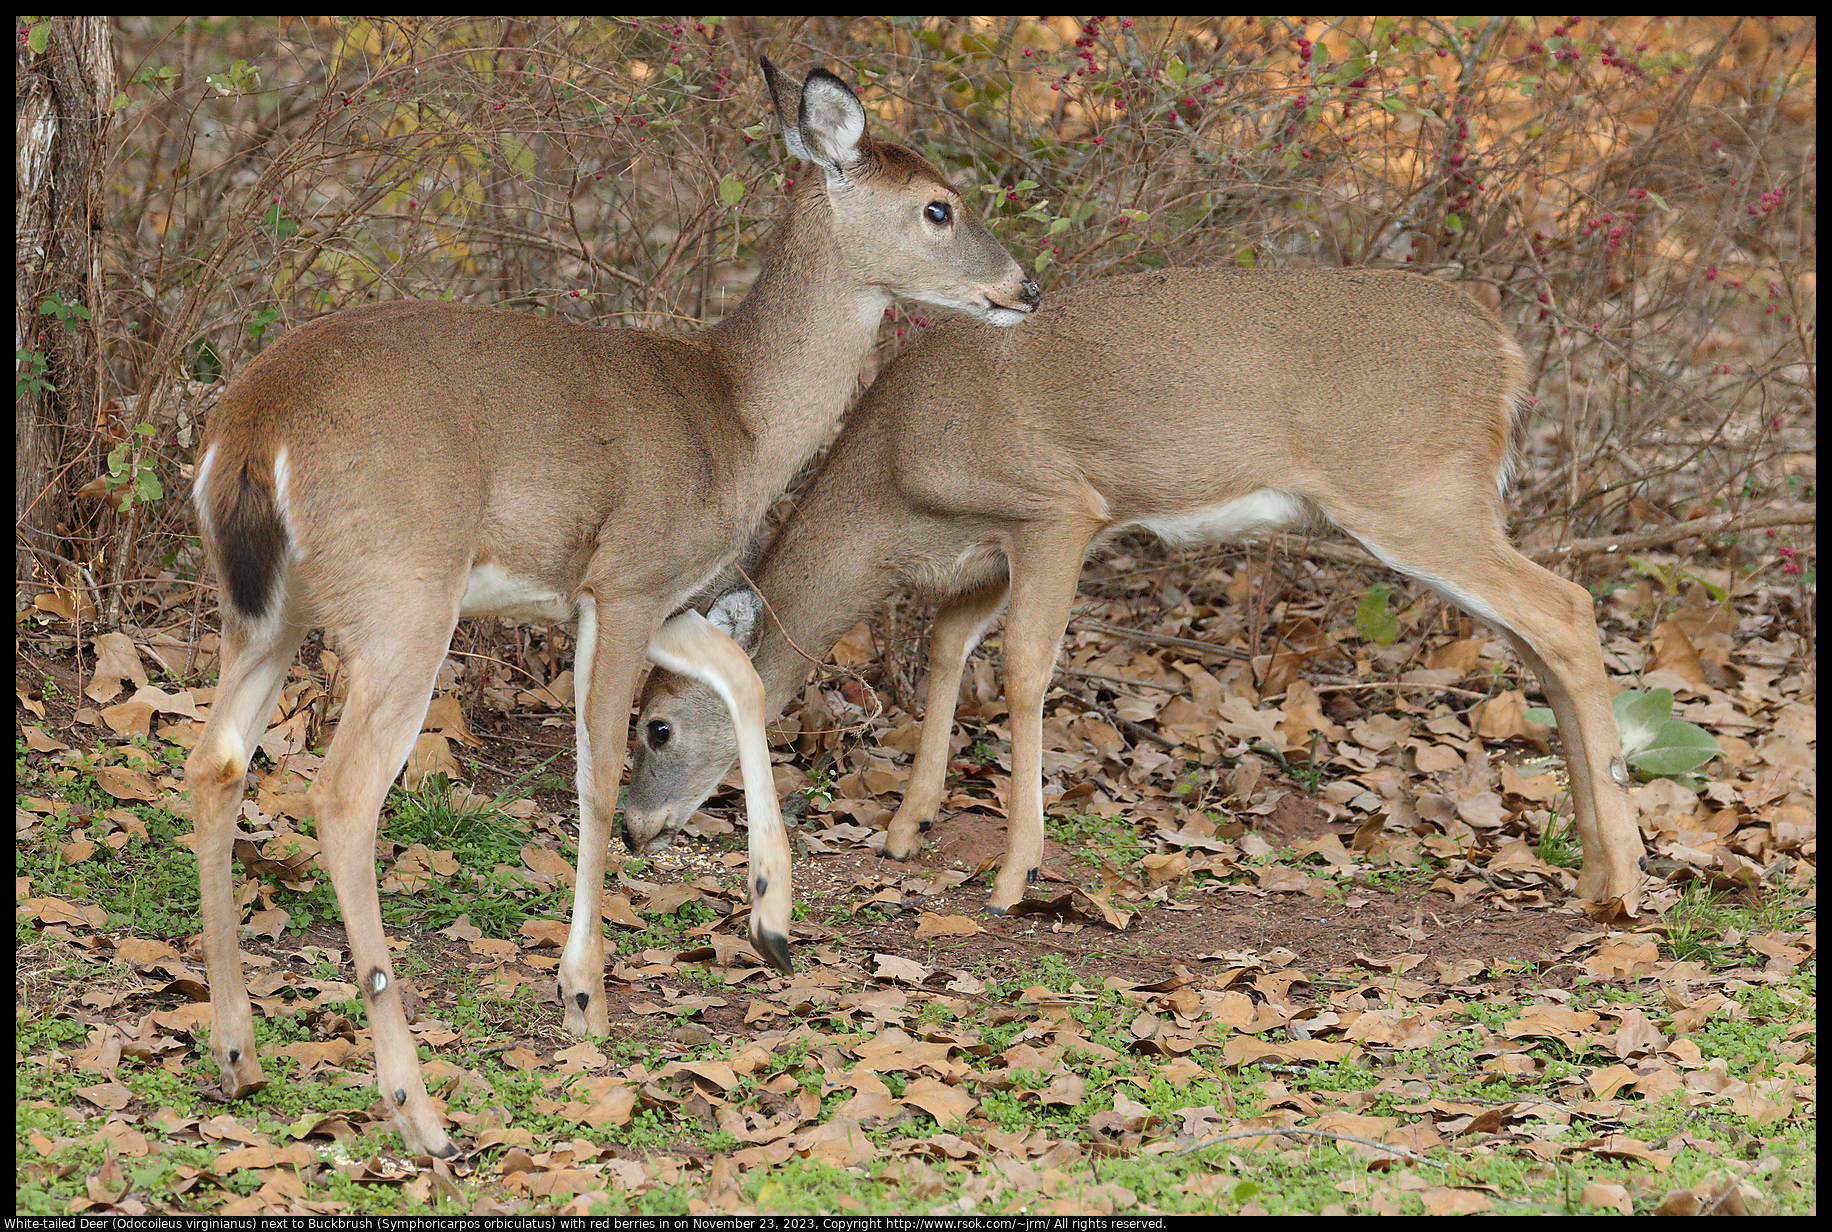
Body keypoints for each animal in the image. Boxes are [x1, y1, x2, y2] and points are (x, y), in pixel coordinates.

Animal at [185, 55, 1047, 1158]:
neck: (734, 415)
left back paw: (238, 1053)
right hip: (403, 592)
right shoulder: (627, 575)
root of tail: (253, 429)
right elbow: (594, 772)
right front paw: (584, 997)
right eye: (937, 206)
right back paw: (417, 1110)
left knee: (215, 762)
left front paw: (771, 920)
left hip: (265, 608)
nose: (1023, 288)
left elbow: (737, 680)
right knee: (340, 796)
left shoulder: (653, 589)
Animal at [626, 262, 1648, 924]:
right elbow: (947, 655)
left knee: (1566, 609)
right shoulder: (980, 560)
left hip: (1413, 490)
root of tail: (1502, 350)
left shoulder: (1058, 510)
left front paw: (1014, 876)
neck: (894, 488)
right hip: (1444, 502)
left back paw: (1629, 883)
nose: (633, 829)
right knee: (1540, 640)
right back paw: (1596, 872)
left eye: (657, 726)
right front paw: (906, 831)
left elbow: (1024, 670)